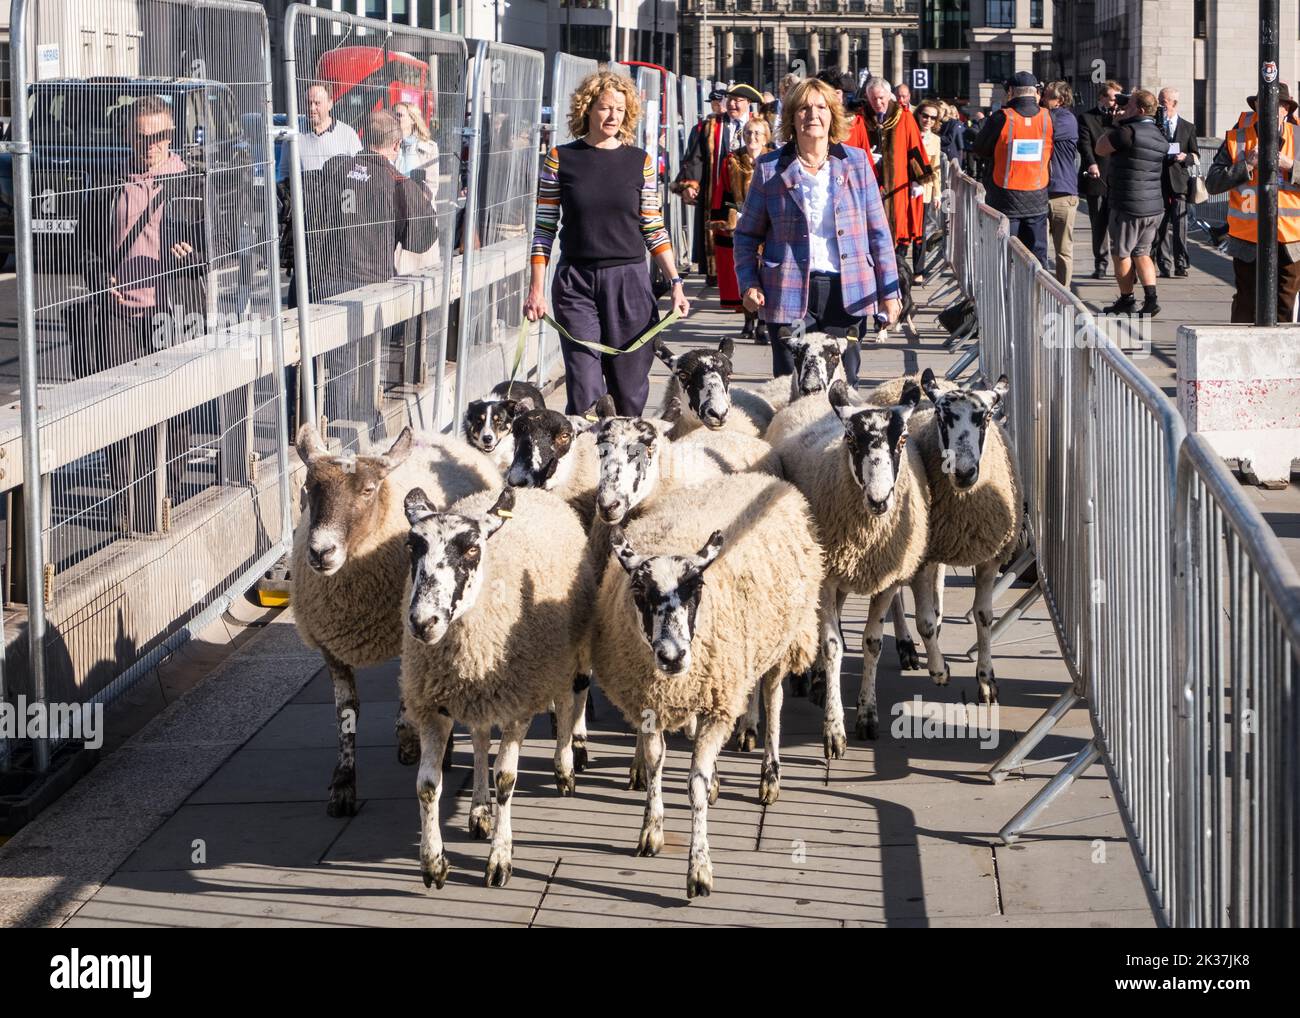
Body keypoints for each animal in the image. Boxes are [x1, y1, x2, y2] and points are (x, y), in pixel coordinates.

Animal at [292, 426, 499, 816]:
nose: (321, 552)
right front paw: (343, 785)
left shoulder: (411, 629)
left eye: (368, 490)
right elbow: (346, 712)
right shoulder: (330, 644)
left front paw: (408, 739)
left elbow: (407, 693)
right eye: (310, 487)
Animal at [397, 486, 595, 894]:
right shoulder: (434, 705)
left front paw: (500, 861)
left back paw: (565, 768)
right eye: (412, 546)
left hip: (567, 654)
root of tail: (532, 490)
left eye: (472, 549)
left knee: (568, 703)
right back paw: (478, 810)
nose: (423, 622)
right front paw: (433, 864)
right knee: (479, 740)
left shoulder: (519, 702)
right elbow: (427, 785)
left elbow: (506, 778)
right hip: (480, 697)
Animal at [592, 470, 821, 899]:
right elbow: (655, 762)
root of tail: (766, 477)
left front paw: (699, 870)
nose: (672, 656)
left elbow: (694, 784)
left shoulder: (718, 705)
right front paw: (651, 831)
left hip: (783, 637)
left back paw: (770, 776)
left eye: (696, 589)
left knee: (773, 697)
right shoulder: (651, 701)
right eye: (639, 593)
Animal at [774, 377, 930, 754]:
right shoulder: (827, 577)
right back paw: (810, 680)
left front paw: (867, 717)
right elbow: (832, 646)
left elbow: (872, 643)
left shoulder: (886, 579)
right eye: (850, 440)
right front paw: (834, 731)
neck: (867, 537)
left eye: (902, 439)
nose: (879, 500)